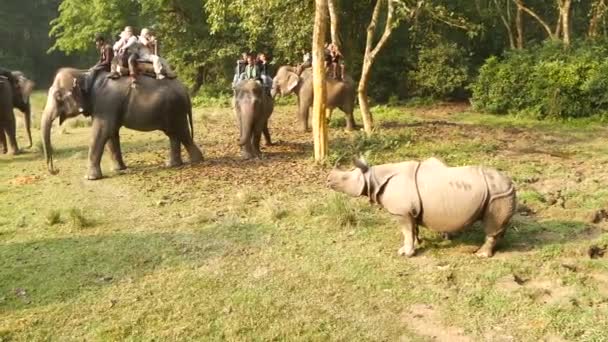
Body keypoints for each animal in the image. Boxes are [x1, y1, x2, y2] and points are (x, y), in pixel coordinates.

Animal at [42, 66, 205, 179]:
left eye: (58, 96)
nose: (55, 170)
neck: (85, 74)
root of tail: (185, 90)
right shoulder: (106, 107)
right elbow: (111, 133)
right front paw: (118, 169)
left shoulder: (106, 103)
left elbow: (102, 131)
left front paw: (91, 178)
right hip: (171, 111)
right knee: (173, 134)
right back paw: (172, 164)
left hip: (175, 110)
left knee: (181, 132)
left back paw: (197, 161)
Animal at [328, 158, 516, 256]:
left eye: (345, 178)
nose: (328, 179)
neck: (374, 178)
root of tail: (511, 182)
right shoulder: (409, 211)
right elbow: (413, 229)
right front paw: (418, 242)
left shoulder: (401, 212)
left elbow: (406, 231)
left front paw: (405, 253)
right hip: (498, 193)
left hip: (498, 194)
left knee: (492, 225)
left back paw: (481, 255)